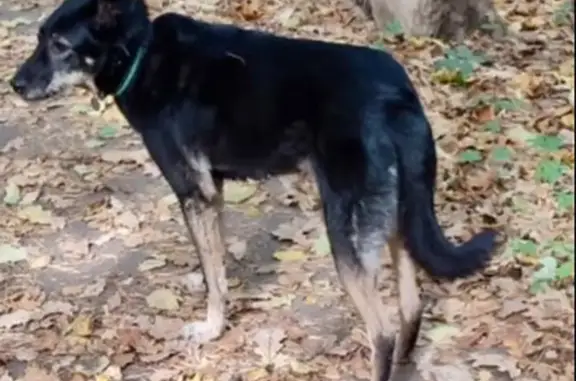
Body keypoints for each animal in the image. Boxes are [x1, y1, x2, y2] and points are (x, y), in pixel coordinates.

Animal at [10, 1, 496, 378]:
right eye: (39, 38)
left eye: (60, 46)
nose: (14, 85)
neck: (141, 52)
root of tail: (398, 97)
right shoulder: (214, 192)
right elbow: (217, 266)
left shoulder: (195, 193)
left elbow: (213, 274)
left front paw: (209, 329)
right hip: (395, 218)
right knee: (411, 307)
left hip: (346, 232)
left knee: (384, 331)